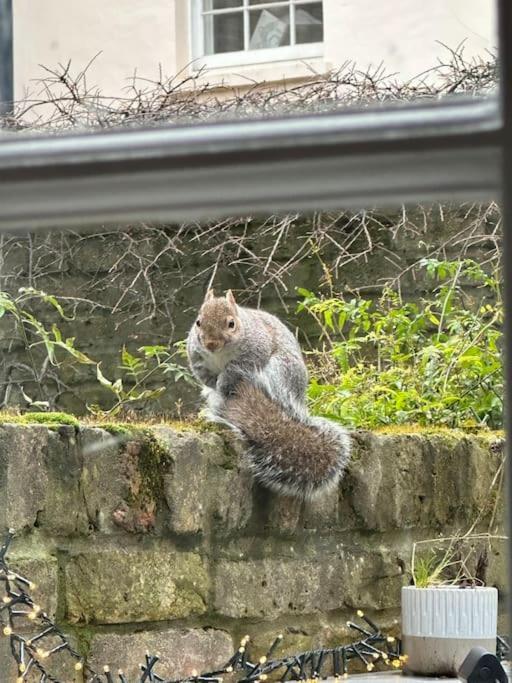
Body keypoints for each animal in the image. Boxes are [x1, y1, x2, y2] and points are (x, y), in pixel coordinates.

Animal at [188, 286, 352, 500]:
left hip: (280, 370)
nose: (211, 344)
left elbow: (235, 368)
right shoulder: (196, 355)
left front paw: (223, 382)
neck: (219, 355)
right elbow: (203, 375)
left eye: (231, 324)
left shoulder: (255, 350)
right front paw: (212, 381)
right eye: (198, 322)